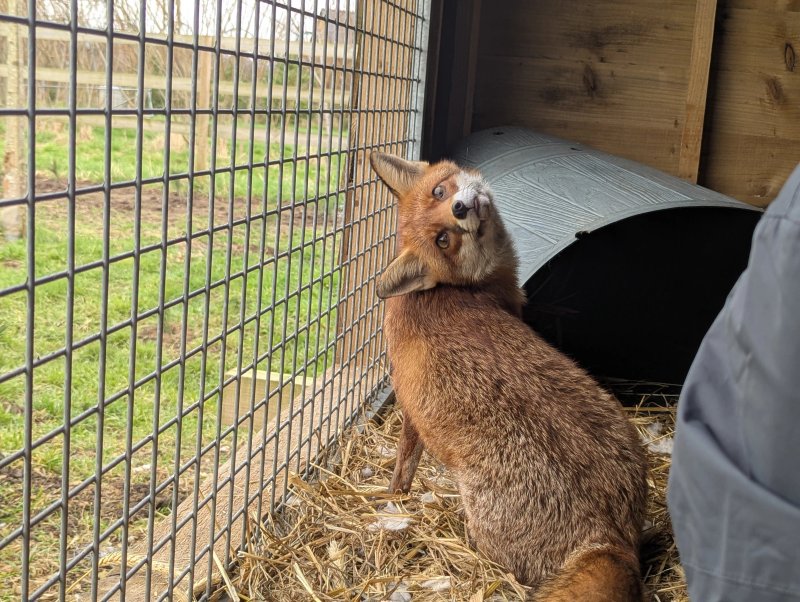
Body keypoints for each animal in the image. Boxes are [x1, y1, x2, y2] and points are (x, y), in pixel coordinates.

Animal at [370, 152, 648, 601]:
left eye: (440, 192)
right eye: (443, 240)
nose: (461, 208)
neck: (454, 289)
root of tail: (610, 535)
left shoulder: (408, 402)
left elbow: (404, 461)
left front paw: (396, 493)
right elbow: (406, 461)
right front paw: (399, 494)